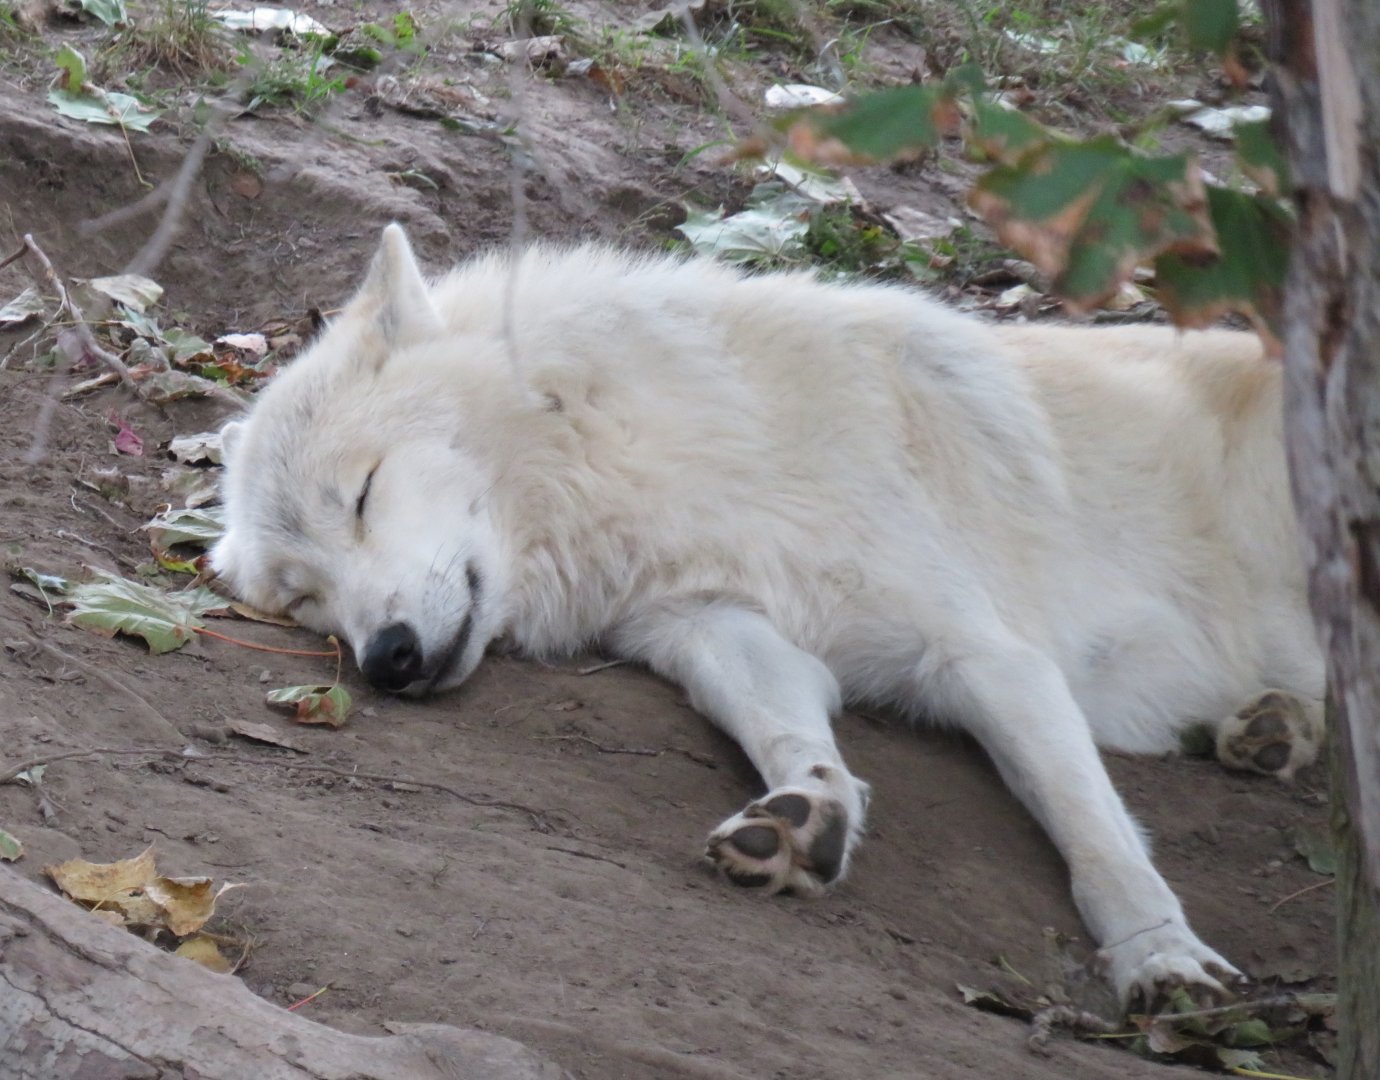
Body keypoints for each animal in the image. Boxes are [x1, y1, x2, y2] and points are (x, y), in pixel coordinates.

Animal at [212, 224, 1324, 1006]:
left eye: (362, 494)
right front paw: (806, 817)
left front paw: (1161, 956)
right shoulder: (718, 627)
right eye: (306, 597)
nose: (389, 658)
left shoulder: (983, 654)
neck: (640, 470)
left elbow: (1096, 833)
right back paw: (1269, 730)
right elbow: (790, 733)